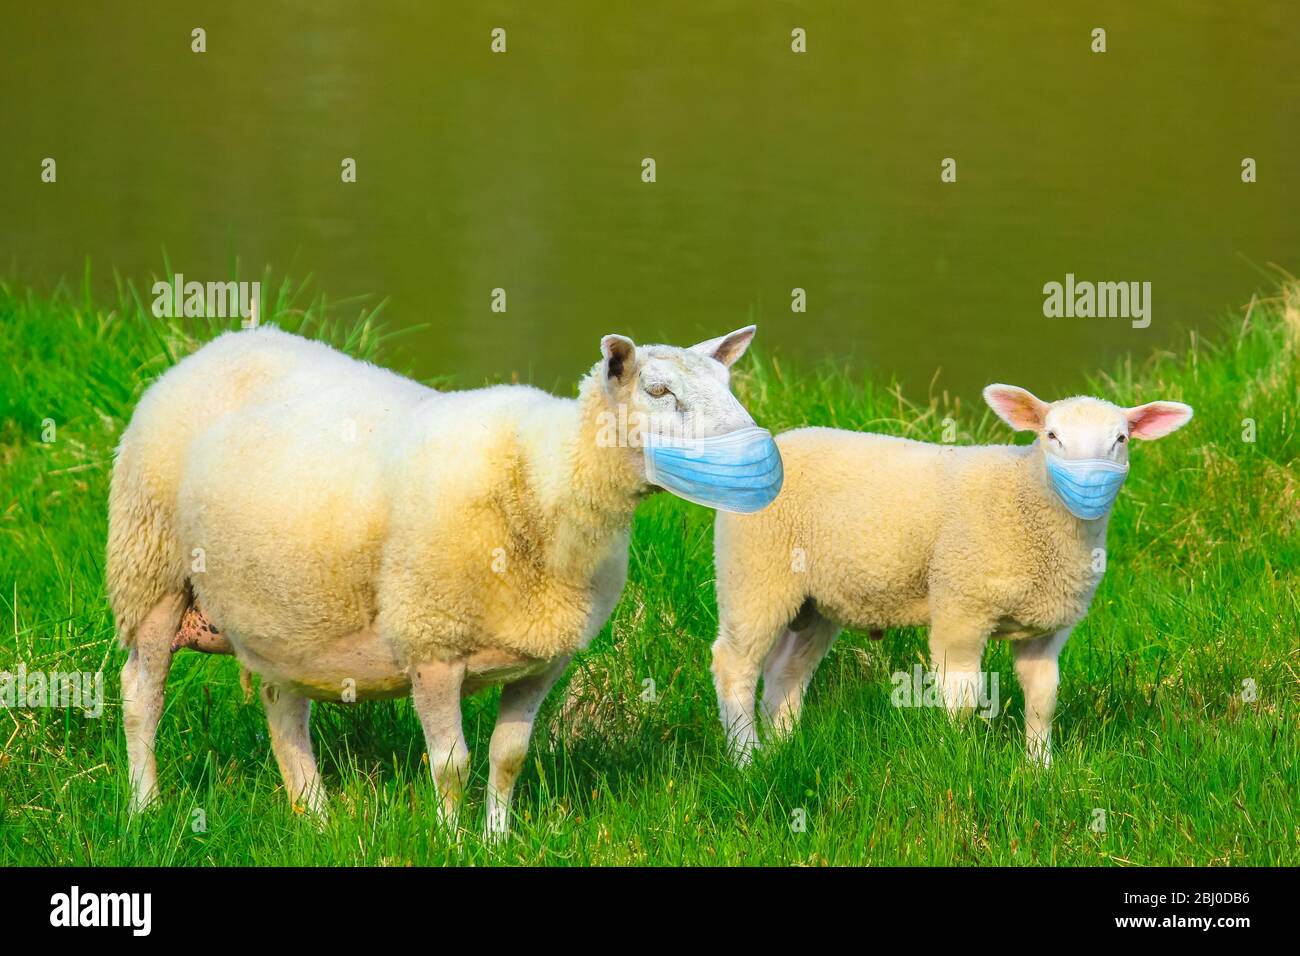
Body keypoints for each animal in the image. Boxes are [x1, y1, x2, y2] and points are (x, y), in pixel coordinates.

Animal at [109, 321, 780, 837]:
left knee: (283, 707)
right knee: (142, 693)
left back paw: (314, 815)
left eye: (727, 386)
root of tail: (217, 345)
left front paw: (497, 838)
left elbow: (509, 758)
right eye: (658, 390)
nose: (757, 454)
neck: (545, 479)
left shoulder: (543, 660)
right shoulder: (431, 642)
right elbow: (451, 764)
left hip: (281, 610)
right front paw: (453, 840)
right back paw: (146, 807)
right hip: (152, 567)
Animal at [712, 385, 1190, 764]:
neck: (1026, 498)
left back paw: (782, 749)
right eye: (1052, 435)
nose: (1089, 485)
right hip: (754, 572)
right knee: (734, 666)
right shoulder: (961, 606)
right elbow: (962, 697)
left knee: (785, 674)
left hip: (815, 600)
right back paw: (746, 758)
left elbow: (1042, 698)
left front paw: (1040, 768)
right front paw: (956, 757)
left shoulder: (1046, 627)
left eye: (1120, 439)